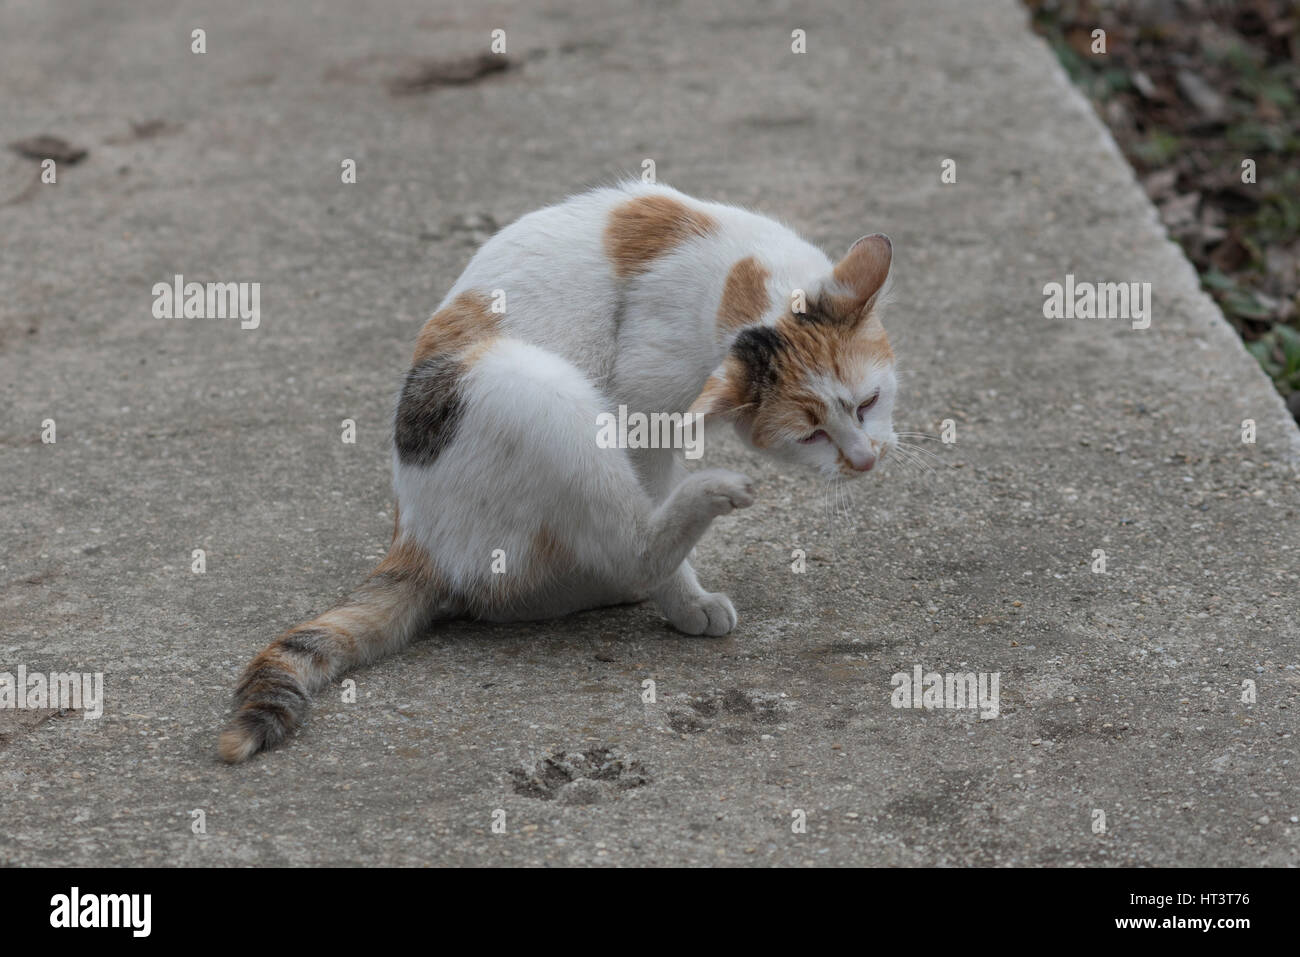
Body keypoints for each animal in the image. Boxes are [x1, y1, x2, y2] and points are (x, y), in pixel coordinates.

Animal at [220, 179, 894, 764]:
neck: (738, 278)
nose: (865, 459)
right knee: (632, 545)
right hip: (529, 383)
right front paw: (687, 601)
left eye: (869, 403)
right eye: (809, 434)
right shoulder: (639, 408)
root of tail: (412, 538)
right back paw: (702, 509)